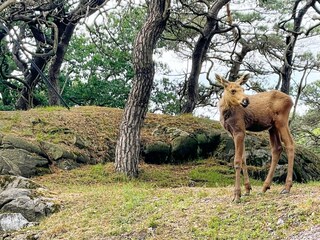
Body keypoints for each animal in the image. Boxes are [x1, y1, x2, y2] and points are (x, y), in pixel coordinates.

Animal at [216, 74, 296, 202]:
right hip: (272, 126)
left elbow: (237, 161)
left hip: (281, 122)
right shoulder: (233, 133)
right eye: (233, 90)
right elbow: (243, 158)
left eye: (242, 89)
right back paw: (265, 187)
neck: (225, 112)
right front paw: (247, 189)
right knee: (277, 148)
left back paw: (286, 187)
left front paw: (236, 195)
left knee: (290, 144)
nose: (246, 100)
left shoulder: (239, 130)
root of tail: (291, 101)